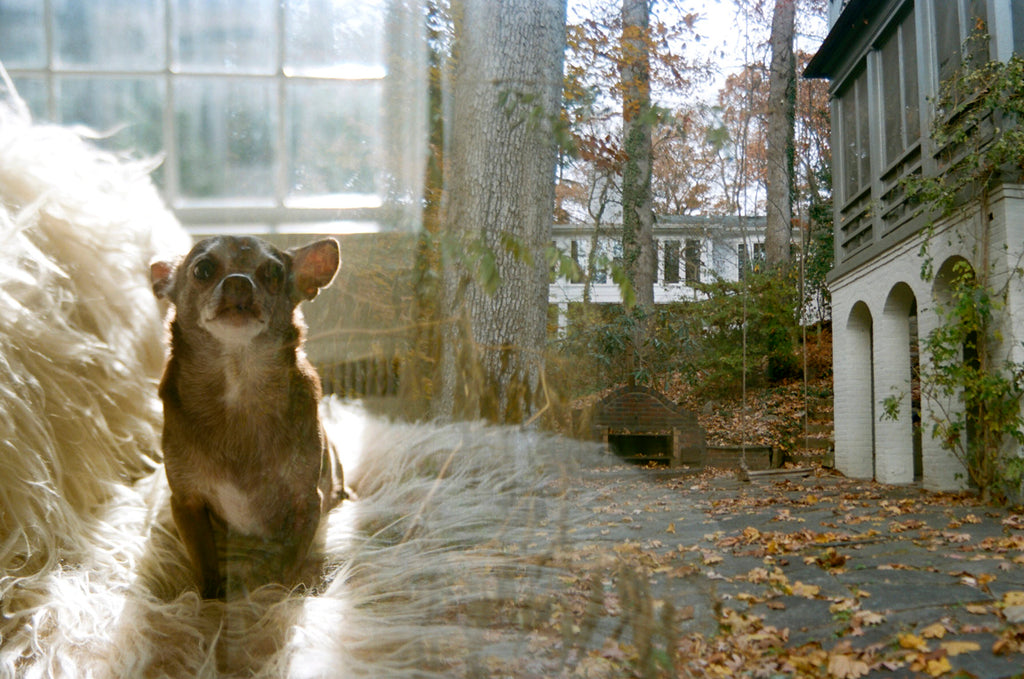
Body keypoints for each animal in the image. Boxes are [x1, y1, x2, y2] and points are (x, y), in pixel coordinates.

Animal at [149, 236, 346, 598]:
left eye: (274, 272)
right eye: (202, 269)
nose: (239, 282)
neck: (239, 384)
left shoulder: (306, 503)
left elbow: (289, 563)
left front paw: (278, 599)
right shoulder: (187, 505)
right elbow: (206, 566)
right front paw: (210, 603)